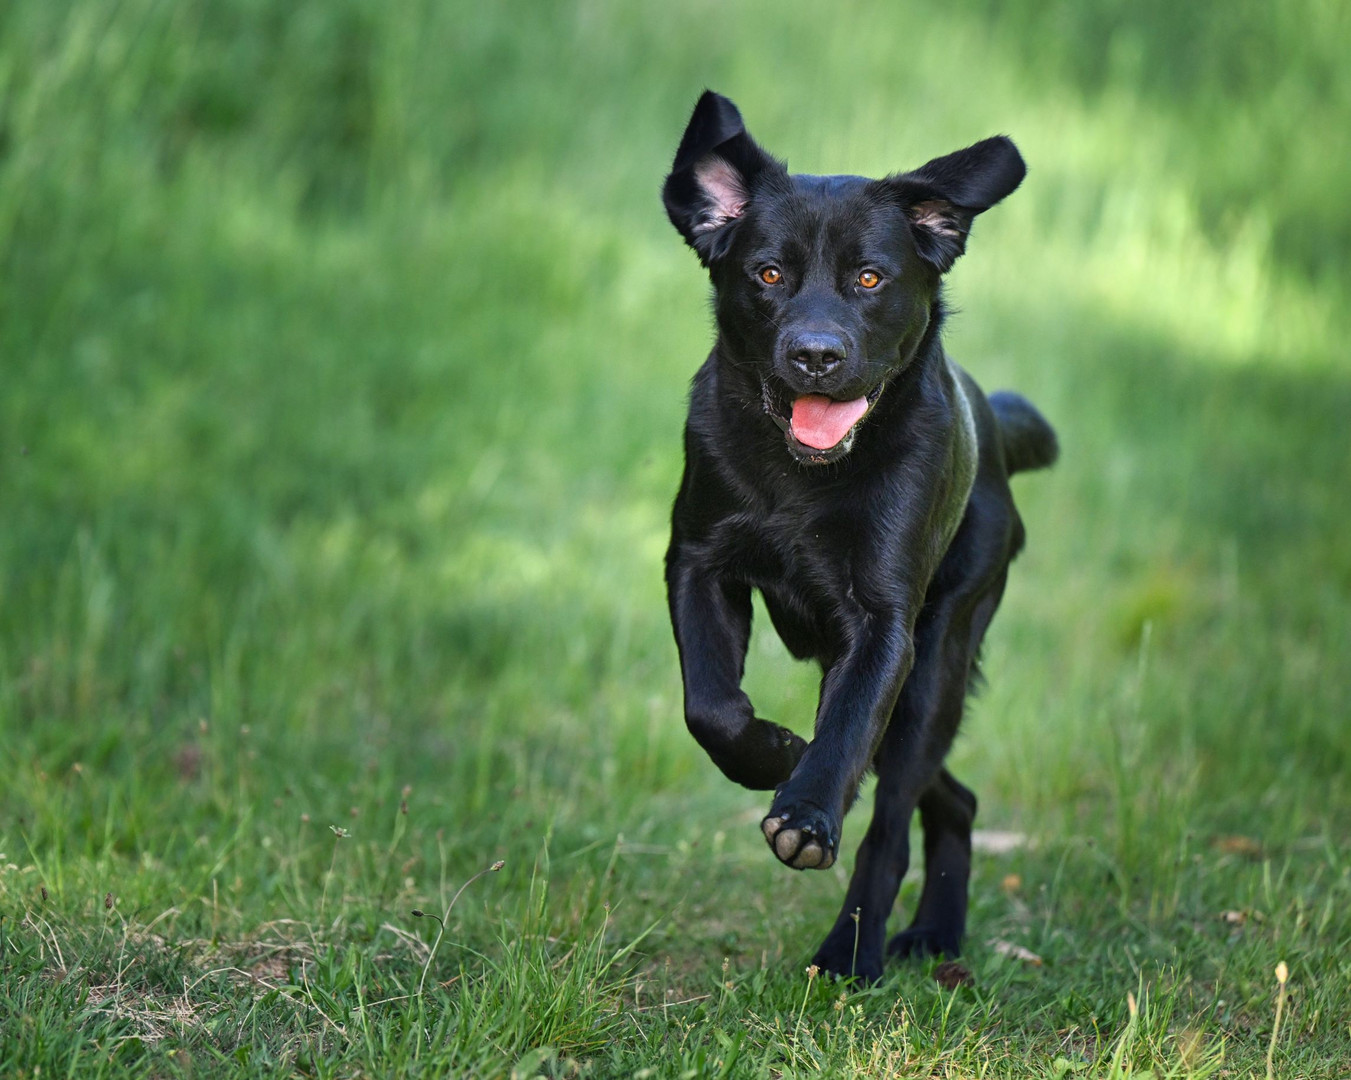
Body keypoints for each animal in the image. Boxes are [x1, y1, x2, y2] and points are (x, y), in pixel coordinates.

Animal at [661, 93, 1053, 984]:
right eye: (767, 274)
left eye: (869, 279)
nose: (815, 355)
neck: (800, 480)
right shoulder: (697, 562)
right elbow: (710, 705)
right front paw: (773, 752)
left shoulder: (883, 627)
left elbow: (840, 745)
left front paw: (804, 815)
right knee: (954, 798)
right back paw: (934, 931)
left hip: (933, 668)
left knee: (891, 819)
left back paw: (856, 949)